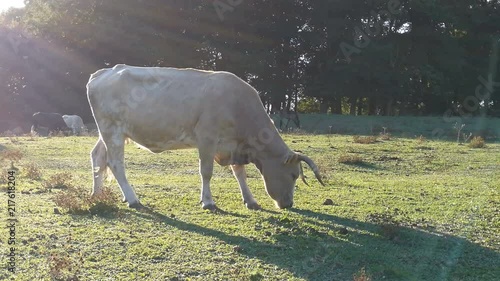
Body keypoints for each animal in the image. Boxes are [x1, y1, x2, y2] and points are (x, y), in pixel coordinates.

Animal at [86, 64, 324, 209]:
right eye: (293, 175)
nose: (289, 204)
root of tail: (103, 72)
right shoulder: (207, 138)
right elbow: (206, 172)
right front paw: (208, 201)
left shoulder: (233, 145)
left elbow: (240, 173)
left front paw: (250, 200)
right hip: (112, 130)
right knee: (115, 163)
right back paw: (132, 198)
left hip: (108, 132)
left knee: (98, 156)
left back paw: (97, 194)